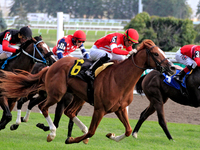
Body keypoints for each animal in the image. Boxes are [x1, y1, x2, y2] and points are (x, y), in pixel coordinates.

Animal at [0, 39, 176, 144]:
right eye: (155, 53)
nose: (172, 68)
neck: (119, 79)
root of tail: (51, 65)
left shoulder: (119, 109)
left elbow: (128, 130)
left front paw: (111, 136)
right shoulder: (100, 109)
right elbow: (91, 132)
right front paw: (71, 139)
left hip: (78, 96)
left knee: (69, 112)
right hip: (56, 94)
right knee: (43, 107)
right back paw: (51, 133)